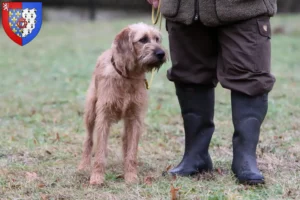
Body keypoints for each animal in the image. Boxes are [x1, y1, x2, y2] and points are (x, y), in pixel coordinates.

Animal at [77, 22, 166, 185]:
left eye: (157, 39)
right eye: (143, 39)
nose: (161, 53)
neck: (128, 77)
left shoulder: (135, 118)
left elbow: (131, 151)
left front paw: (131, 176)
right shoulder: (103, 117)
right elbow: (99, 152)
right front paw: (97, 177)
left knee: (125, 141)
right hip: (91, 113)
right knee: (88, 140)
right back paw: (83, 166)